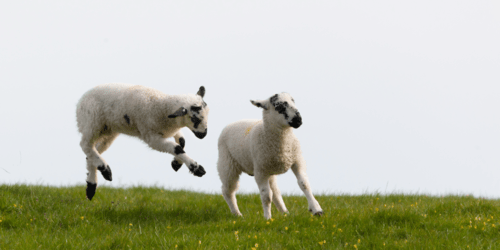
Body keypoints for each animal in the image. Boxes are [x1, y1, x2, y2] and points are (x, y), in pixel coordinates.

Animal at [76, 83, 209, 200]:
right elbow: (176, 147)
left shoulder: (171, 131)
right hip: (92, 123)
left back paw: (91, 186)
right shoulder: (152, 138)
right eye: (194, 119)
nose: (203, 135)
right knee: (85, 145)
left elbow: (181, 142)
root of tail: (80, 102)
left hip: (108, 131)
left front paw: (176, 163)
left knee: (92, 151)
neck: (162, 107)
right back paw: (105, 170)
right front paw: (196, 168)